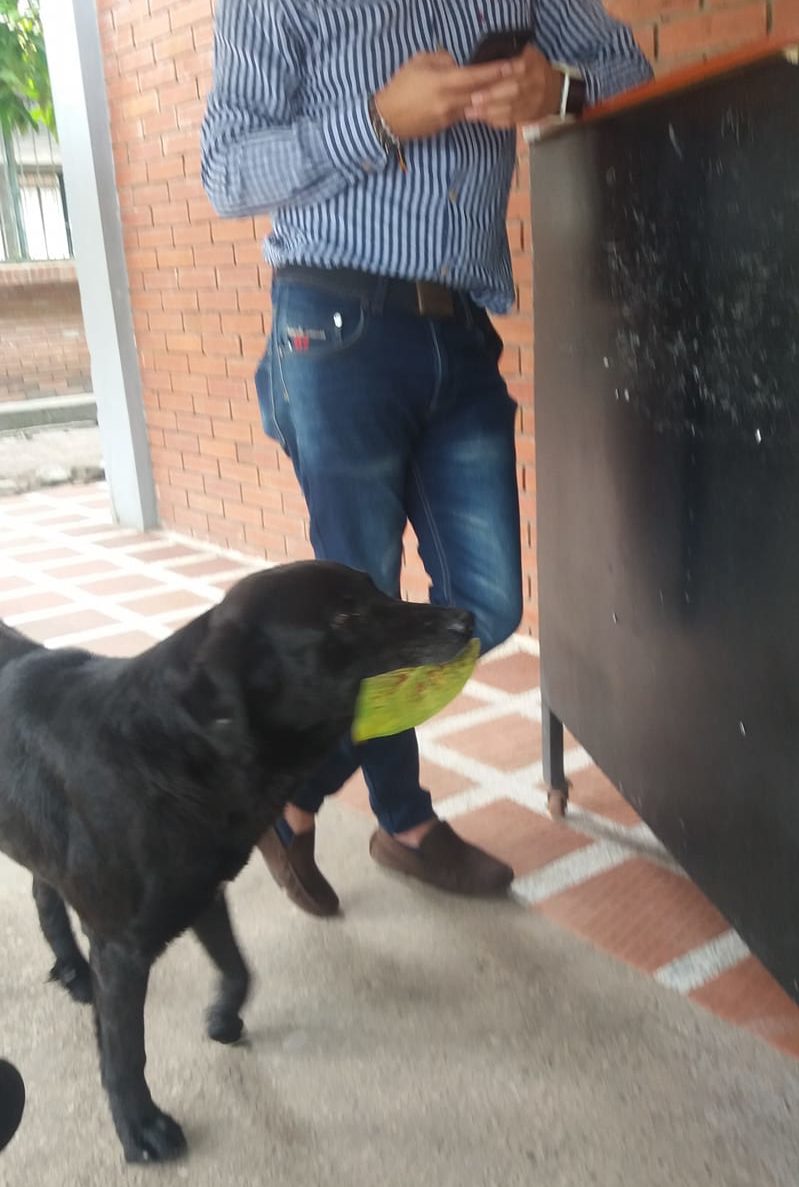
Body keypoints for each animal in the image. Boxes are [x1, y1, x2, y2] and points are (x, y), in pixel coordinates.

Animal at [0, 560, 474, 1163]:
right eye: (344, 617)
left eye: (375, 590)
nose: (465, 619)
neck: (174, 749)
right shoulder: (122, 948)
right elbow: (125, 1052)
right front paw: (139, 1127)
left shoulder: (204, 893)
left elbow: (239, 968)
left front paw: (223, 1016)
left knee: (44, 889)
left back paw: (71, 969)